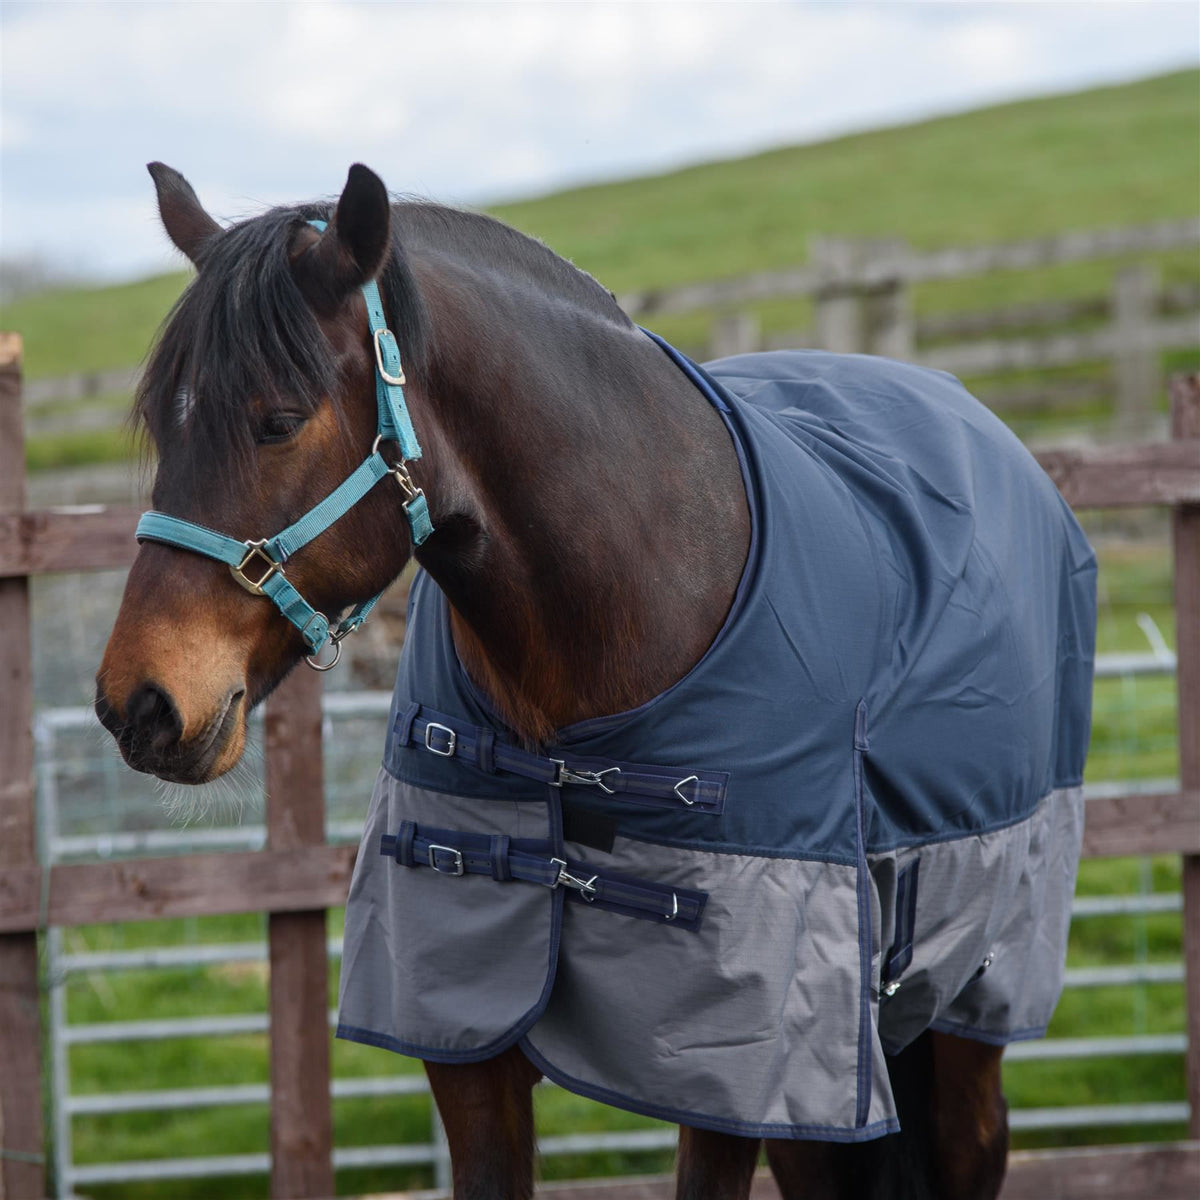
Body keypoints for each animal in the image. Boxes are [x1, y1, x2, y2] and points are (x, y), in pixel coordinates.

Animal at [96, 162, 1096, 1200]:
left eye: (280, 422)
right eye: (161, 421)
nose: (141, 703)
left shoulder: (727, 1070)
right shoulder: (472, 1045)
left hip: (963, 1006)